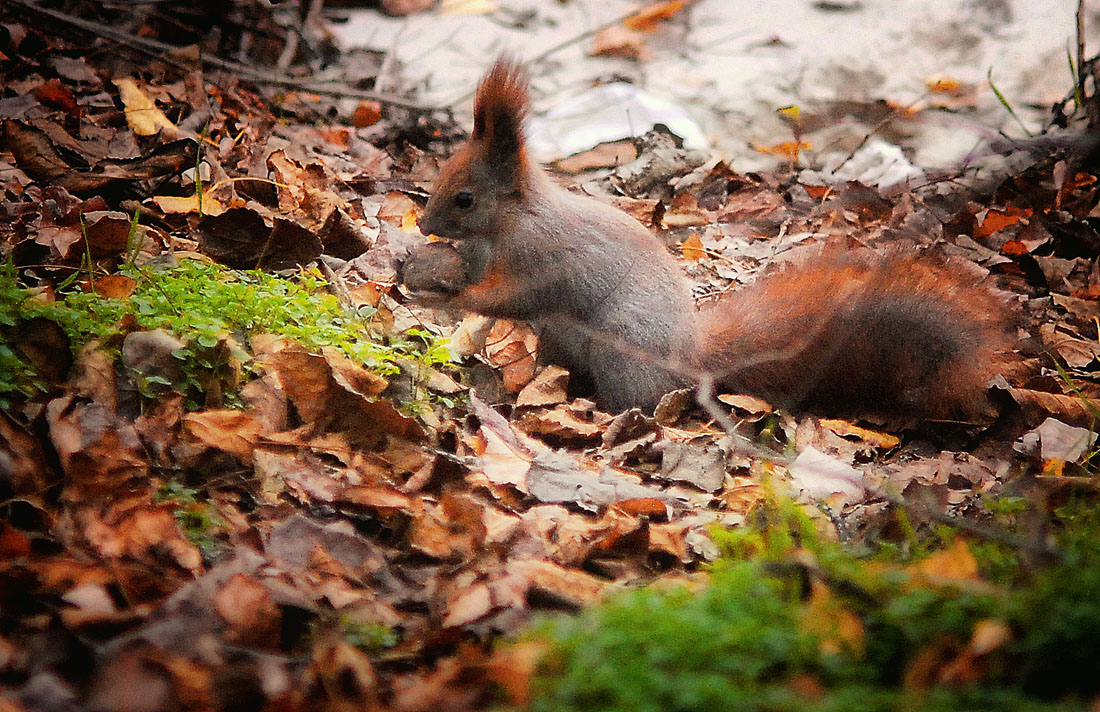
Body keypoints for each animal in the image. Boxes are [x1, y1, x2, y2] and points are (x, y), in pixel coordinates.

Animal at [398, 59, 1012, 422]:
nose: (424, 226)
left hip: (623, 350)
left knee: (638, 401)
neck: (508, 222)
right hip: (564, 342)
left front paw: (455, 295)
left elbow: (513, 295)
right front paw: (423, 267)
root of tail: (690, 360)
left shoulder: (543, 259)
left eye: (465, 198)